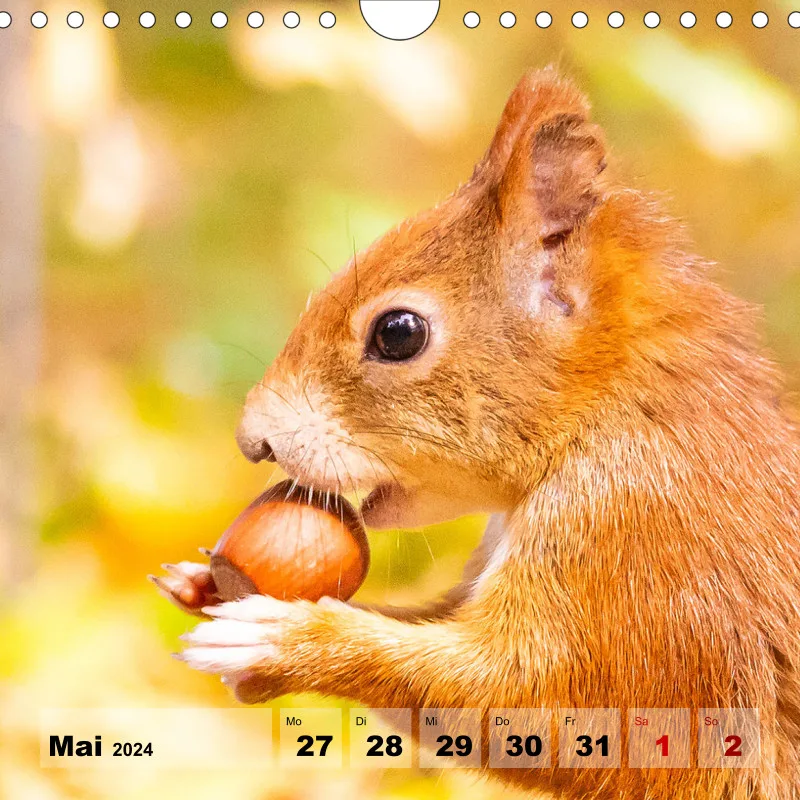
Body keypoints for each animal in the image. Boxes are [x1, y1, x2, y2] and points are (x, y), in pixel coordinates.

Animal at [153, 70, 800, 798]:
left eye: (398, 333)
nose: (252, 441)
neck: (615, 414)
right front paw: (202, 585)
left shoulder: (646, 547)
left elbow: (546, 700)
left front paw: (283, 640)